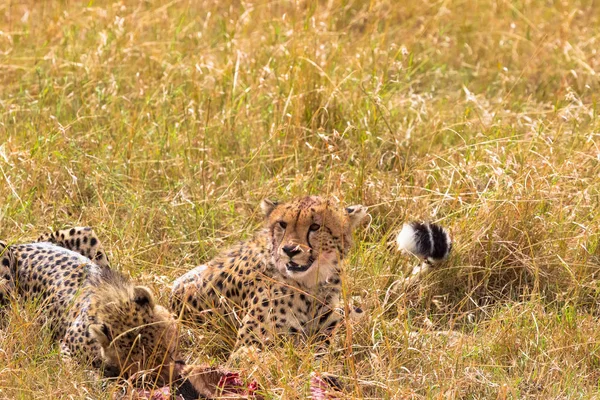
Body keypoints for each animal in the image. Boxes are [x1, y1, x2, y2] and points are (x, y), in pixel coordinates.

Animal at [0, 228, 179, 382]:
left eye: (168, 350)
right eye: (143, 364)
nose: (171, 378)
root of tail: (19, 245)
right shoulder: (66, 348)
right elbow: (84, 374)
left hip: (86, 234)